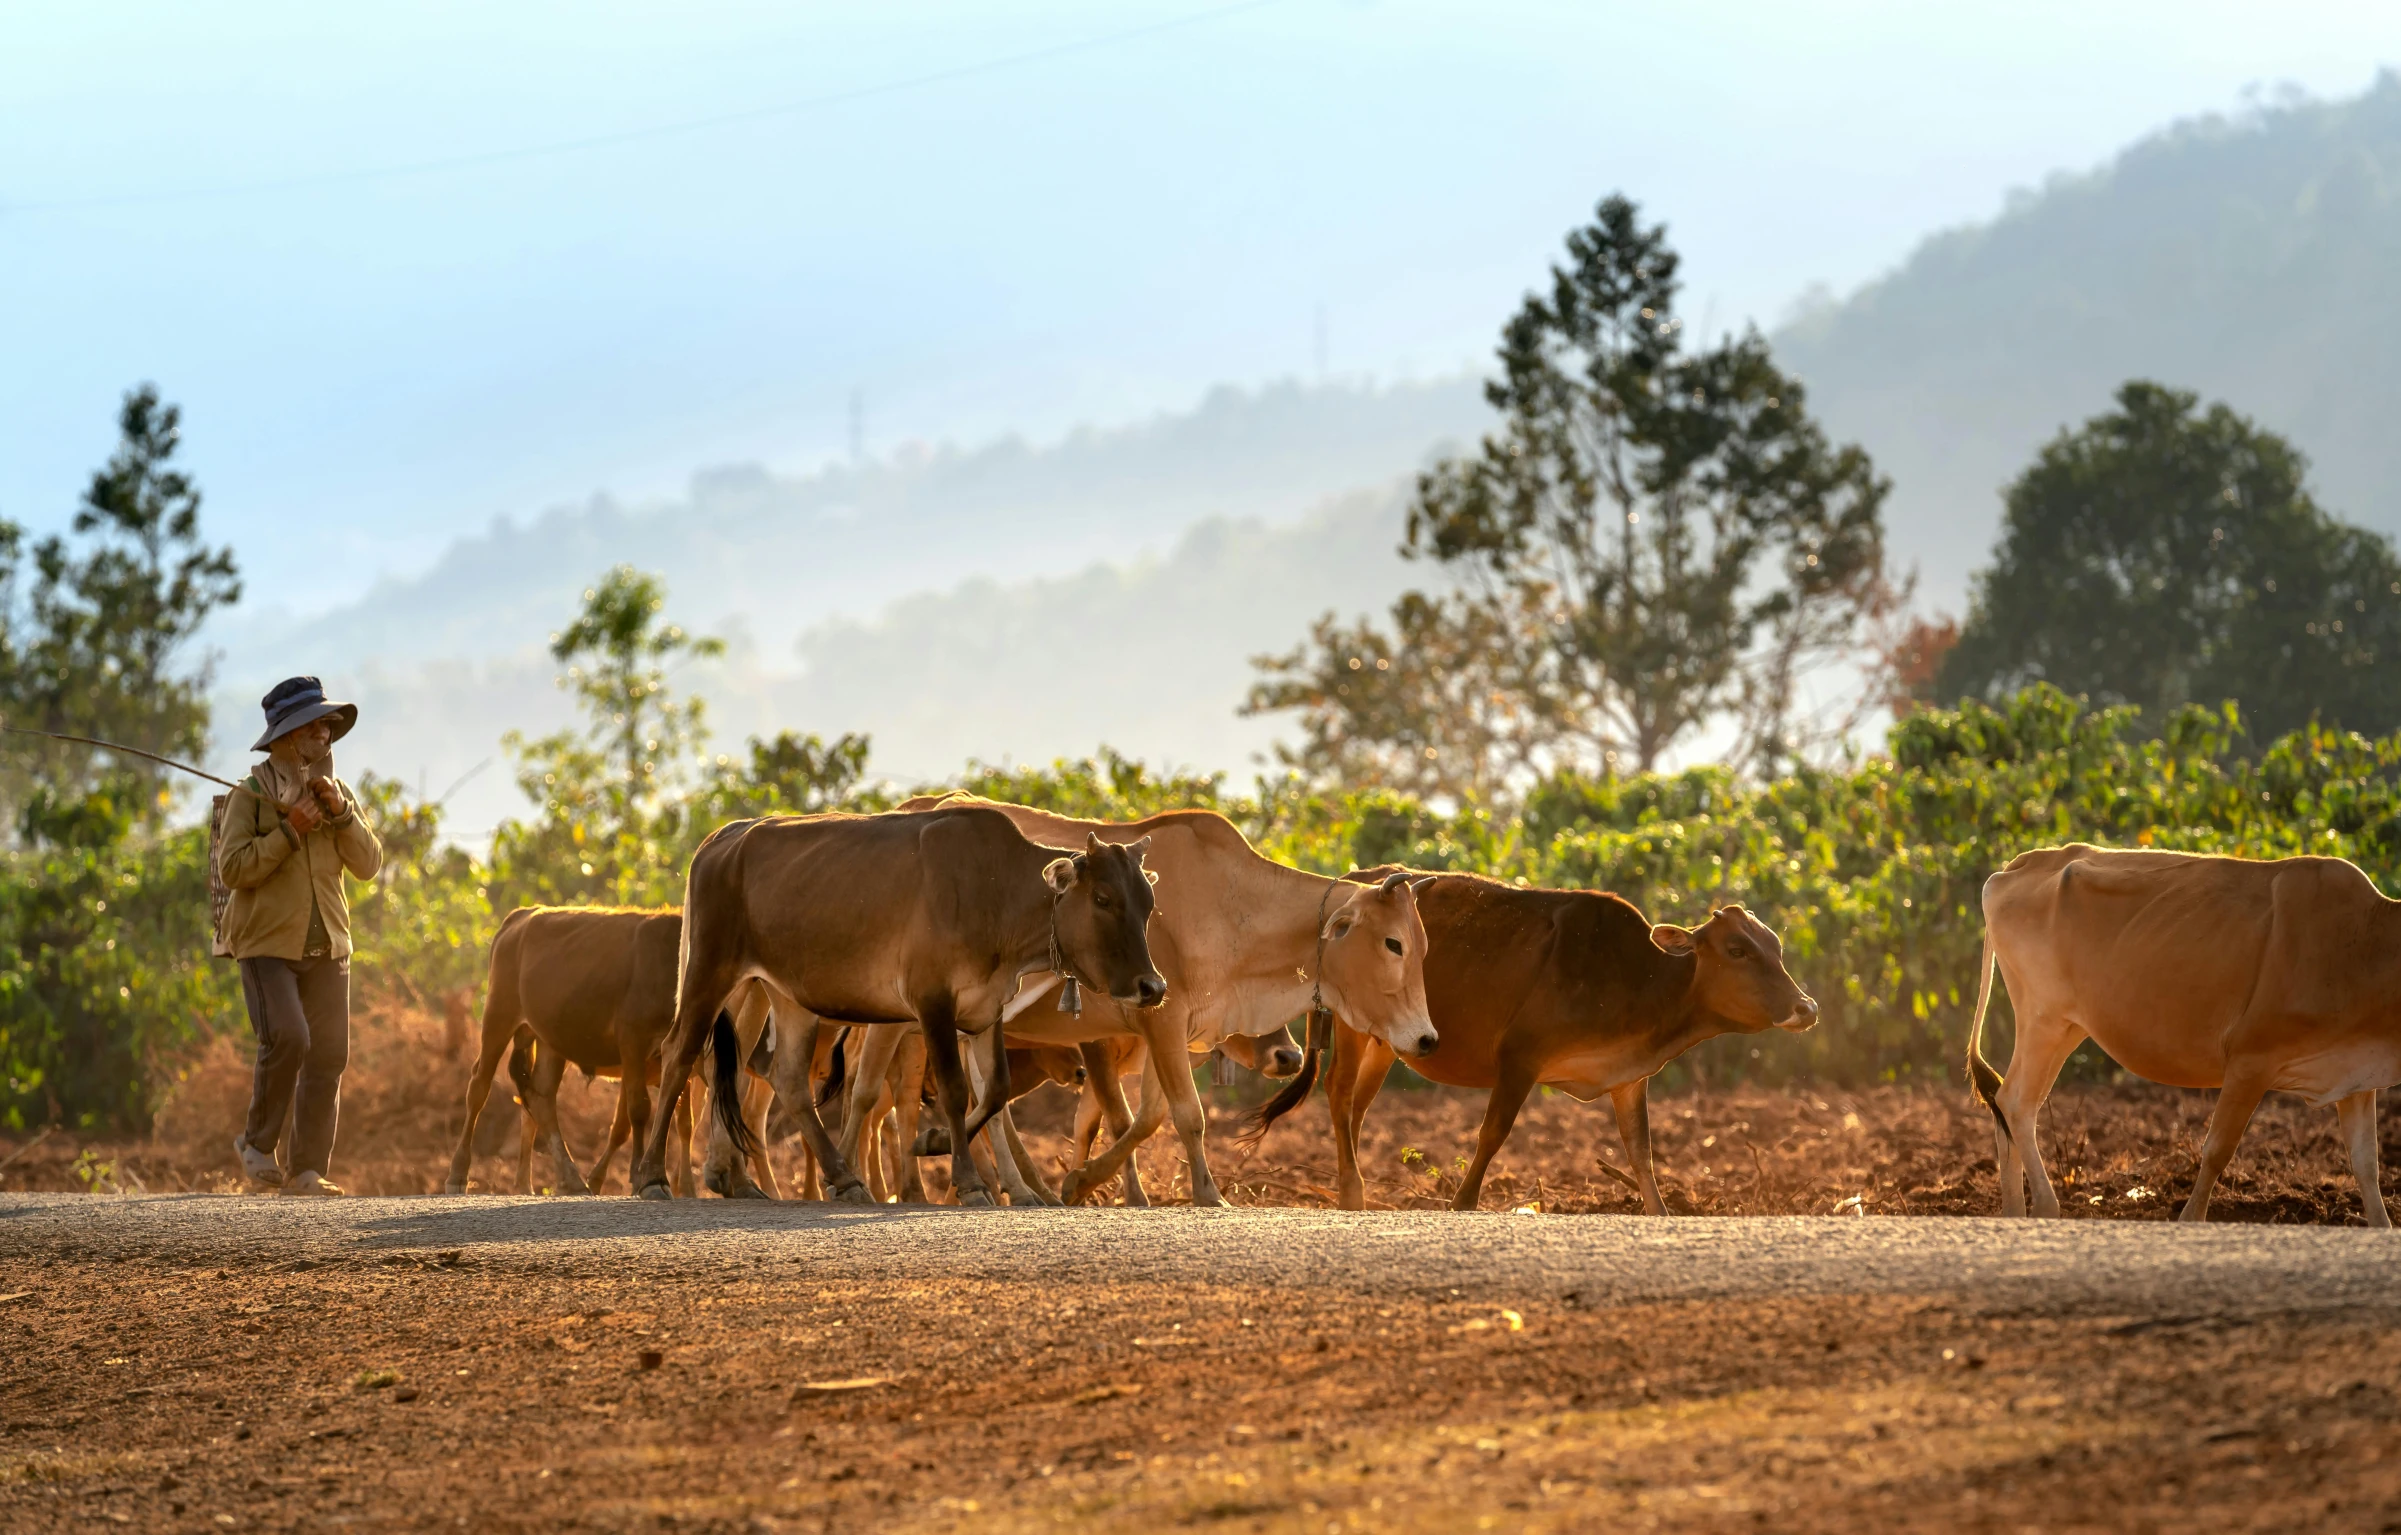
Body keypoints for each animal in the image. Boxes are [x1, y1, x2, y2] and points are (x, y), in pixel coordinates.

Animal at [633, 811, 1166, 1205]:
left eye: (1148, 903)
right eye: (1102, 898)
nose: (1152, 986)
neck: (995, 892)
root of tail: (725, 836)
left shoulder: (986, 1010)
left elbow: (995, 1090)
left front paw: (933, 1143)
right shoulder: (932, 1003)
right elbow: (955, 1091)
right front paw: (969, 1182)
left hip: (781, 994)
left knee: (782, 1077)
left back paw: (831, 1179)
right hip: (710, 972)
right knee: (680, 1054)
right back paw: (653, 1177)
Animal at [1258, 874, 1815, 1210]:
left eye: (1776, 945)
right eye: (1737, 949)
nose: (1806, 1007)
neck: (1638, 979)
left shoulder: (1629, 1077)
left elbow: (1641, 1151)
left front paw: (1658, 1211)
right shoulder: (1519, 1058)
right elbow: (1492, 1134)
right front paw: (1462, 1203)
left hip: (1385, 1039)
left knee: (1357, 1105)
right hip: (1354, 1026)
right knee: (1338, 1091)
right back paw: (1351, 1193)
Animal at [1968, 840, 2401, 1225]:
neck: (2364, 947)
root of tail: (2029, 860)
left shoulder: (2355, 1075)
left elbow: (2367, 1165)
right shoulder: (2250, 1059)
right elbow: (2217, 1151)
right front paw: (2191, 1219)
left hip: (2065, 1026)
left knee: (2008, 1100)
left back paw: (2014, 1214)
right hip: (2044, 1019)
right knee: (2017, 1102)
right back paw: (2044, 1207)